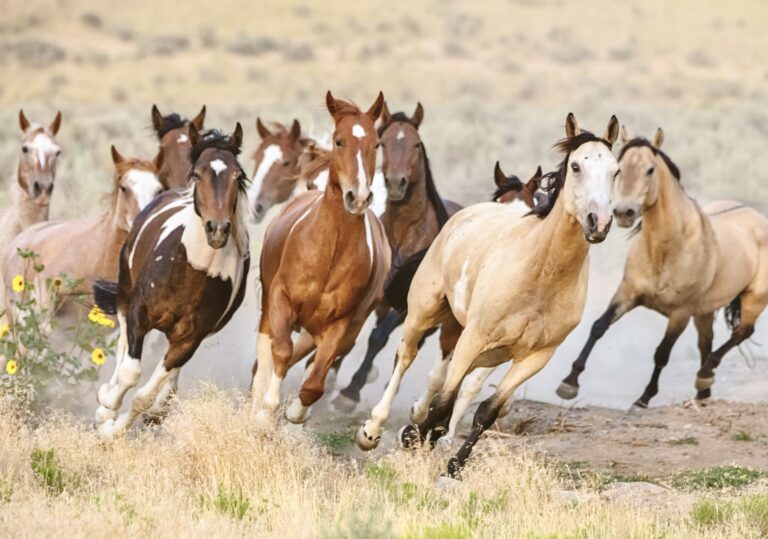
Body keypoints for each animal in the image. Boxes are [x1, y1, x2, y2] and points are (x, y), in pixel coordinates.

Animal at [93, 124, 250, 438]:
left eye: (238, 176)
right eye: (198, 174)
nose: (217, 229)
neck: (194, 271)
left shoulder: (190, 340)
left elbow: (144, 396)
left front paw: (116, 430)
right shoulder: (139, 313)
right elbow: (130, 371)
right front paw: (106, 411)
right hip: (125, 292)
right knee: (122, 349)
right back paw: (106, 399)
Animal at [250, 91, 391, 425]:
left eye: (376, 144)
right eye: (340, 141)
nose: (358, 197)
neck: (329, 253)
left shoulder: (338, 326)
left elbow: (314, 383)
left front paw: (294, 412)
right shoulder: (280, 299)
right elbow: (280, 351)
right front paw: (266, 409)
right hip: (270, 310)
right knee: (269, 354)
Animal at [331, 102, 462, 412]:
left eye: (416, 144)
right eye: (384, 143)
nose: (396, 183)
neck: (403, 235)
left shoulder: (403, 307)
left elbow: (378, 338)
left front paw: (349, 392)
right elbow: (352, 332)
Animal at [356, 113, 620, 481]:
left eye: (616, 170)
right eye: (577, 166)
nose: (599, 222)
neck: (540, 274)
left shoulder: (535, 356)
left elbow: (487, 410)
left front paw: (452, 466)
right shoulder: (474, 336)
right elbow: (443, 400)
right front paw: (411, 439)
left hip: (491, 352)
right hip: (425, 311)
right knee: (405, 357)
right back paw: (373, 430)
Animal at [557, 126, 768, 408]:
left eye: (650, 170)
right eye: (621, 168)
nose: (624, 213)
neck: (666, 250)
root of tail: (757, 217)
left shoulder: (680, 313)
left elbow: (662, 354)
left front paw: (643, 398)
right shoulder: (627, 293)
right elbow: (598, 327)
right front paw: (569, 382)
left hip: (753, 299)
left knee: (741, 332)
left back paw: (705, 374)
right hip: (704, 311)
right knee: (706, 342)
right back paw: (703, 391)